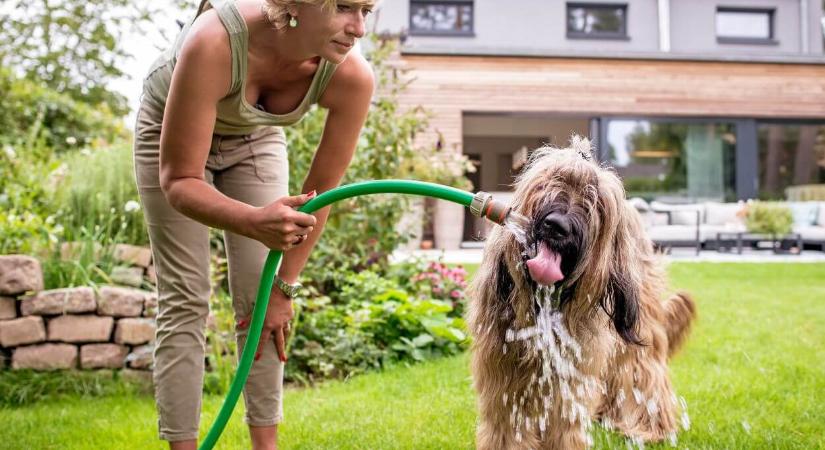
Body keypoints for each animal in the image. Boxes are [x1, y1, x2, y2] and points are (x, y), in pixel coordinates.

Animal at [466, 135, 692, 448]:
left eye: (595, 202)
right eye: (549, 183)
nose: (557, 226)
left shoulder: (572, 368)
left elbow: (564, 421)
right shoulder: (502, 366)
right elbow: (505, 422)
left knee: (643, 370)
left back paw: (648, 428)